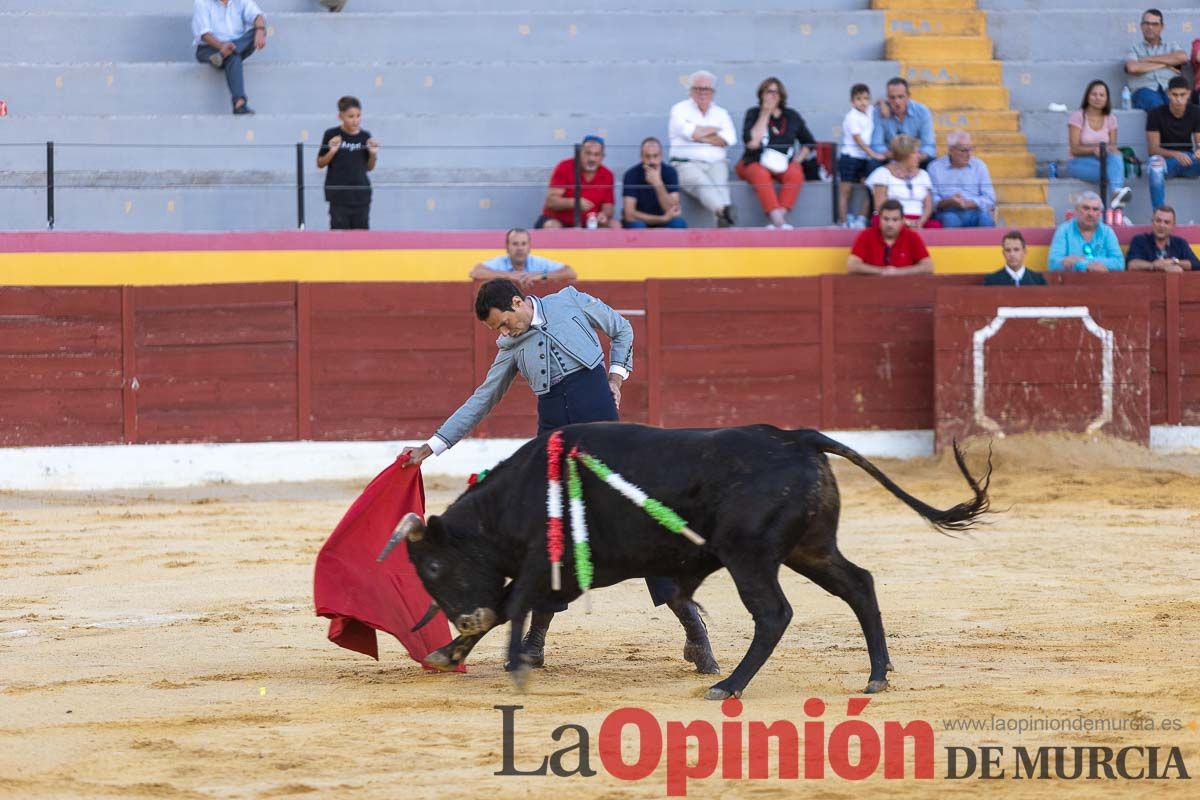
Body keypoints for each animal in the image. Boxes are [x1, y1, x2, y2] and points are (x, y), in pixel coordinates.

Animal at [396, 422, 993, 695]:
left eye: (433, 567)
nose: (460, 618)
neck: (519, 496)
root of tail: (796, 436)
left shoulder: (548, 571)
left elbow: (510, 605)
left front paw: (506, 660)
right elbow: (505, 606)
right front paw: (450, 652)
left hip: (749, 555)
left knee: (774, 614)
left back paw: (728, 684)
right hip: (811, 548)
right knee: (859, 585)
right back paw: (877, 675)